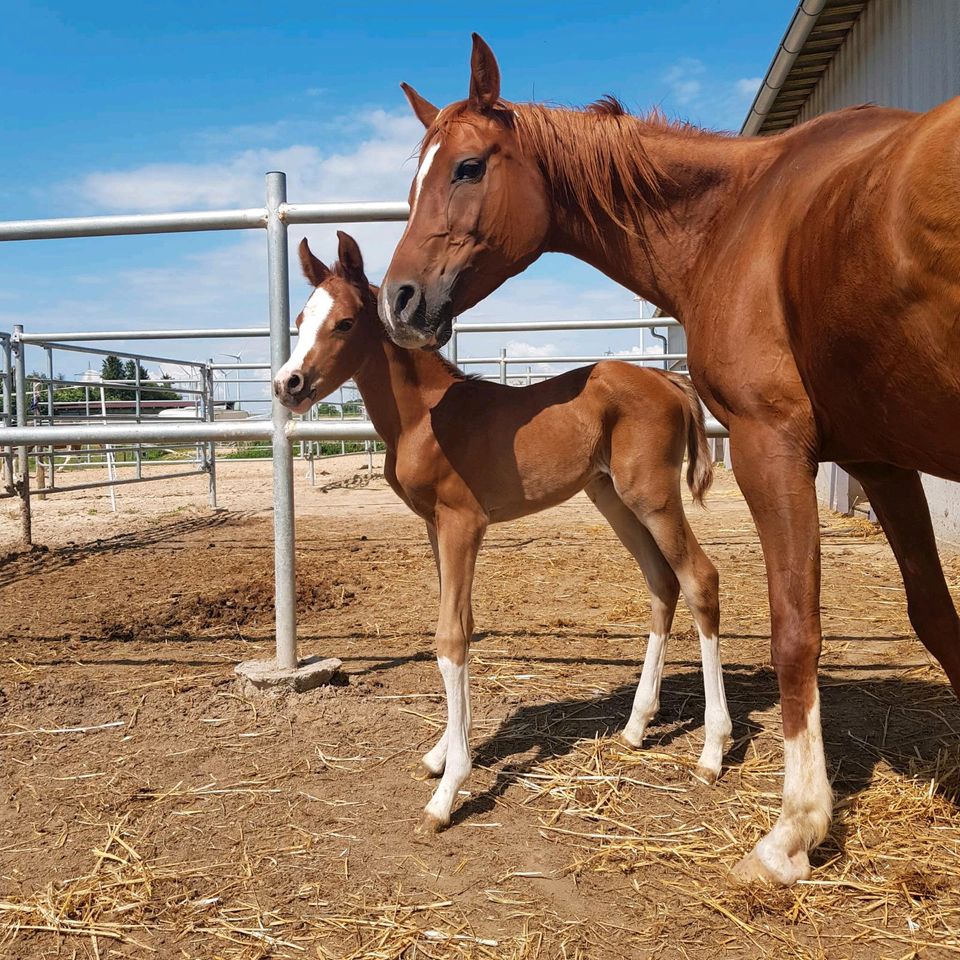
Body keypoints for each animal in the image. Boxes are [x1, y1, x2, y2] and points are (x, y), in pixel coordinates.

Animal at [272, 234, 728, 832]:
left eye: (345, 323)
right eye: (301, 320)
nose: (287, 384)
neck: (425, 418)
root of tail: (667, 379)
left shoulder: (463, 523)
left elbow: (451, 637)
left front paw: (448, 792)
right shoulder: (434, 527)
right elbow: (460, 626)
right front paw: (442, 755)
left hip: (651, 497)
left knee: (699, 578)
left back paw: (713, 752)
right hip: (612, 498)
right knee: (662, 582)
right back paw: (635, 727)